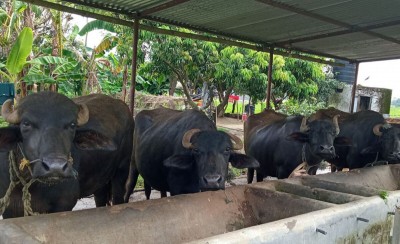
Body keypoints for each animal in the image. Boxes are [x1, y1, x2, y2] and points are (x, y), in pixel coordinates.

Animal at [0, 91, 134, 217]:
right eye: (26, 123)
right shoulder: (8, 209)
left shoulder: (64, 203)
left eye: (72, 125)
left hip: (122, 170)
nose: (55, 168)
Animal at [124, 107, 260, 199]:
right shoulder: (176, 189)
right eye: (196, 150)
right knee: (129, 186)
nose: (212, 181)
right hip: (133, 164)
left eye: (227, 149)